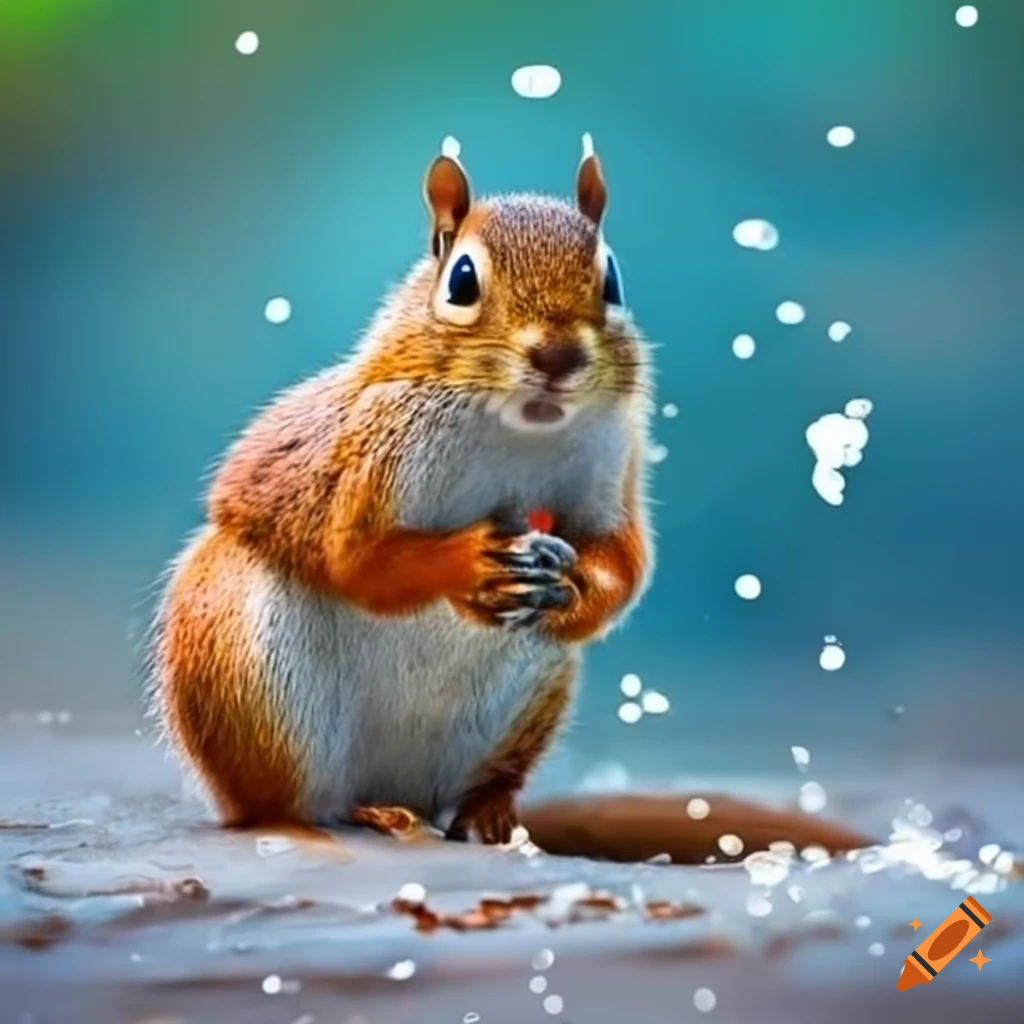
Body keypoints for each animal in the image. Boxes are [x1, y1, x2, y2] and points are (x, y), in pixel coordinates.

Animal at [148, 134, 654, 844]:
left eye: (612, 280)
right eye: (462, 280)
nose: (558, 358)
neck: (515, 428)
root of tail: (393, 787)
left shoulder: (613, 465)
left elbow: (625, 563)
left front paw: (576, 584)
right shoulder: (372, 457)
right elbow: (359, 561)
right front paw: (472, 565)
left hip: (528, 701)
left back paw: (487, 815)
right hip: (244, 662)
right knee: (291, 804)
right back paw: (335, 816)